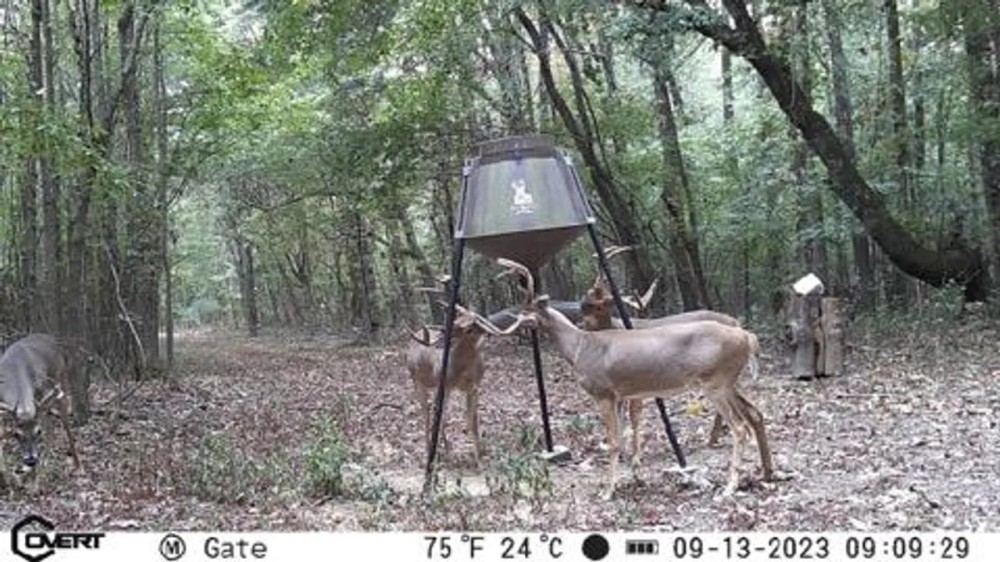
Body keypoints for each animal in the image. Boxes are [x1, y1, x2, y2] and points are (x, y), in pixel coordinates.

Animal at [0, 333, 80, 485]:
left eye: (38, 432)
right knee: (51, 426)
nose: (31, 460)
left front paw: (34, 479)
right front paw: (5, 477)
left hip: (59, 379)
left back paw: (76, 463)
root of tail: (50, 338)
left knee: (62, 421)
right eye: (16, 434)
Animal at [405, 303, 526, 467]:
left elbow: (472, 423)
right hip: (417, 380)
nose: (444, 330)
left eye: (470, 327)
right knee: (427, 414)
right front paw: (449, 456)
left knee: (435, 414)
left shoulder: (474, 388)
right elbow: (442, 417)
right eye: (457, 319)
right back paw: (431, 452)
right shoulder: (444, 385)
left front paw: (480, 460)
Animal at [497, 257, 774, 499]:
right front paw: (631, 478)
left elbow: (613, 441)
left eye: (528, 311)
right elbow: (620, 438)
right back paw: (764, 474)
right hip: (727, 382)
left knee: (739, 427)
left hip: (715, 382)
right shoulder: (621, 395)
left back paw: (730, 487)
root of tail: (746, 336)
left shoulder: (603, 393)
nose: (514, 324)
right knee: (754, 414)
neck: (579, 348)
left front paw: (608, 491)